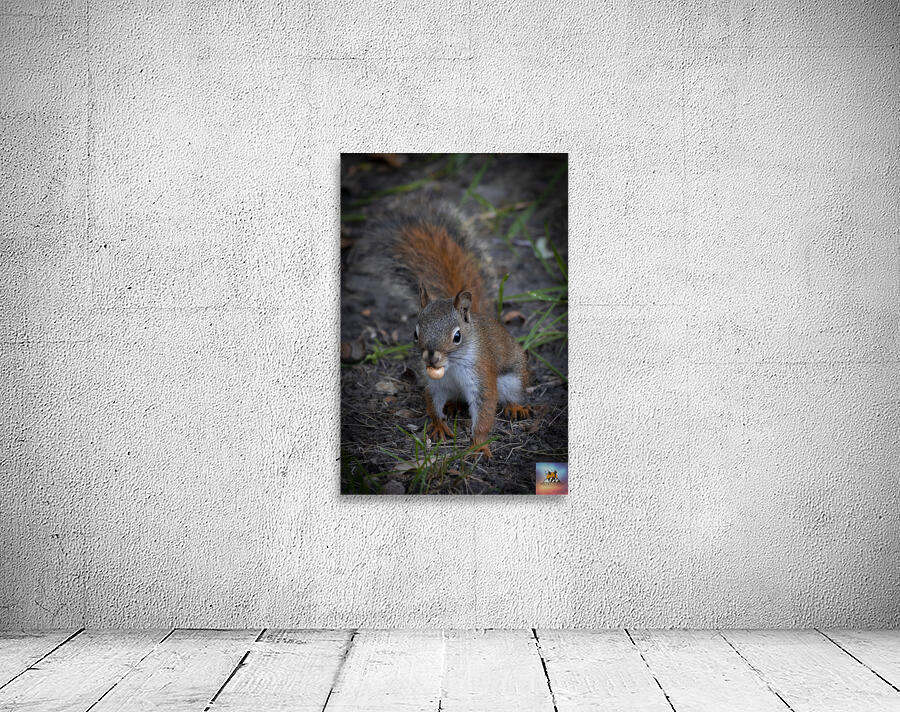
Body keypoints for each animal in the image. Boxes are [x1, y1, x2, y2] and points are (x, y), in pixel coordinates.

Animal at [361, 201, 531, 458]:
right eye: (415, 333)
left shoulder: (481, 376)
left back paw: (515, 407)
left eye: (457, 336)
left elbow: (484, 411)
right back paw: (451, 406)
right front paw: (439, 425)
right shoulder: (435, 384)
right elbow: (433, 404)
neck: (451, 368)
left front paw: (479, 443)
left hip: (513, 377)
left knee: (512, 394)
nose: (431, 358)